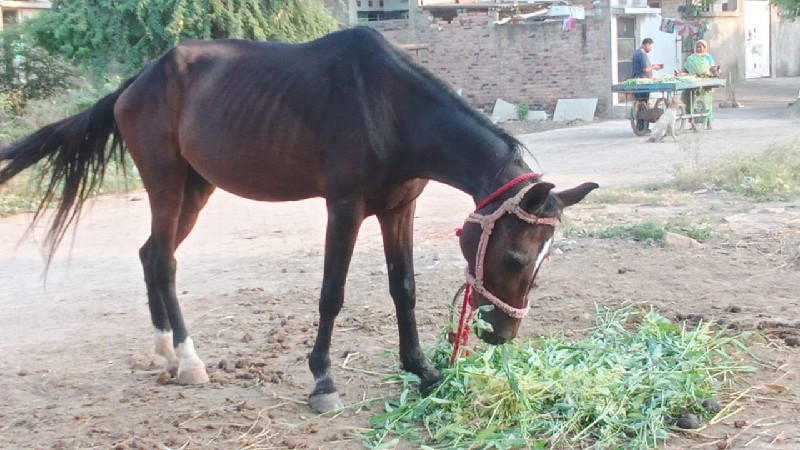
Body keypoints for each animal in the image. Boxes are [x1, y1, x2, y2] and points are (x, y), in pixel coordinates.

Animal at [0, 27, 592, 412]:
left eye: (541, 261)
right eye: (514, 256)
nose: (502, 333)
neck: (392, 107)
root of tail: (134, 83)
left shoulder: (398, 209)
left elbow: (403, 287)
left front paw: (423, 370)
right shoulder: (344, 207)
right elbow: (332, 292)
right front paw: (323, 381)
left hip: (196, 188)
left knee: (151, 255)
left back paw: (165, 353)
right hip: (166, 185)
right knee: (163, 263)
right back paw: (189, 361)